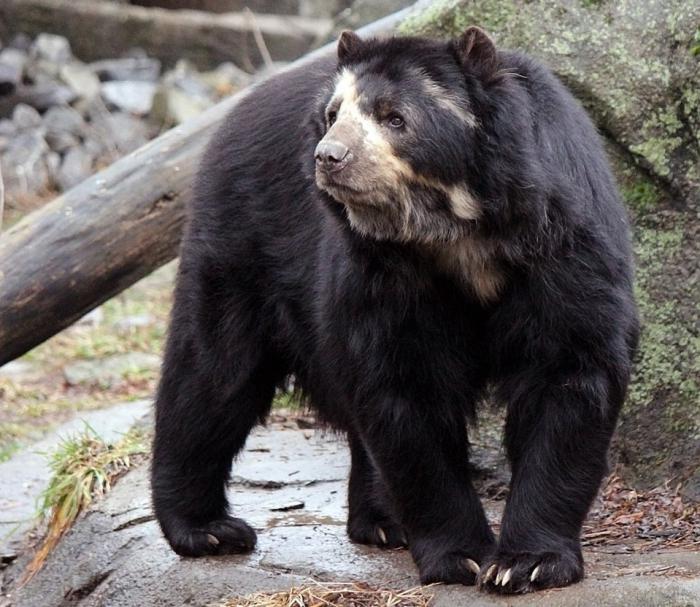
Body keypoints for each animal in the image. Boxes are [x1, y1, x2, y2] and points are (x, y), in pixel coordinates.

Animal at [152, 26, 640, 596]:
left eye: (395, 118)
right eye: (333, 114)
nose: (330, 156)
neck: (455, 232)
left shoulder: (561, 244)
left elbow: (571, 370)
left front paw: (529, 563)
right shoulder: (380, 272)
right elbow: (405, 388)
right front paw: (461, 557)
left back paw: (382, 521)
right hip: (240, 243)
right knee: (214, 372)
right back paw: (207, 529)